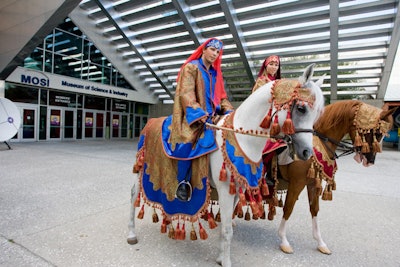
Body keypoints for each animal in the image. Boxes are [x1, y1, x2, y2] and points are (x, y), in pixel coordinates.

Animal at [127, 63, 324, 266]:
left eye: (317, 113)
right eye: (301, 108)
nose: (307, 152)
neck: (241, 137)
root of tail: (151, 122)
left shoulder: (236, 189)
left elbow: (226, 226)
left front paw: (221, 257)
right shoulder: (225, 190)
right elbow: (227, 229)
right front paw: (226, 261)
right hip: (141, 168)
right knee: (134, 194)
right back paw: (132, 234)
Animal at [260, 100, 396, 255]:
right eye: (377, 133)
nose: (370, 161)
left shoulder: (312, 183)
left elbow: (314, 209)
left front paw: (320, 242)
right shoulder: (297, 183)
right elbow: (288, 208)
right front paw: (284, 241)